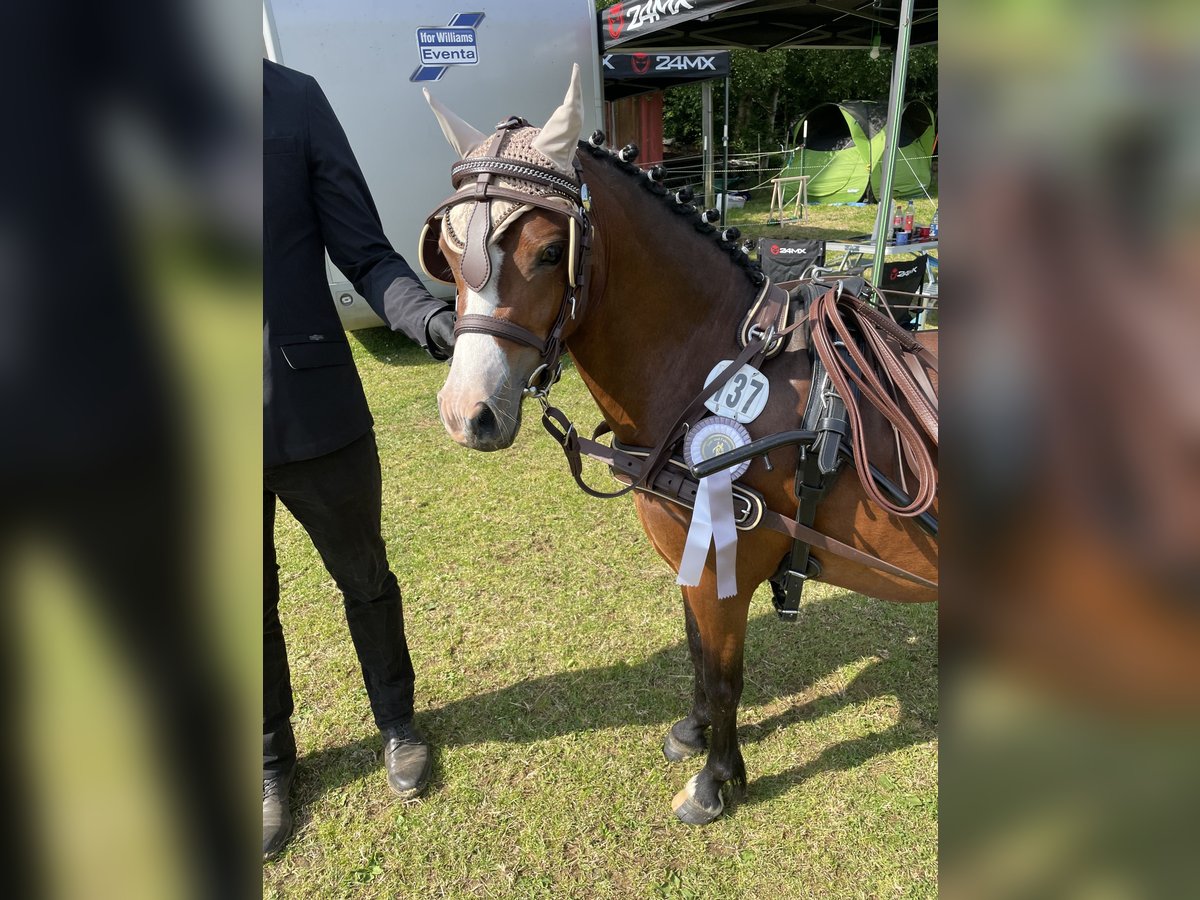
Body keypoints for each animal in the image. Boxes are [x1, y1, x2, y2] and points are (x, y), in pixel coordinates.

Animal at [422, 65, 936, 825]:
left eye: (549, 252)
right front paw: (694, 734)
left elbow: (724, 675)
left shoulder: (727, 562)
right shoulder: (691, 560)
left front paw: (716, 780)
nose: (468, 414)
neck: (710, 367)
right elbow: (697, 655)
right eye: (451, 252)